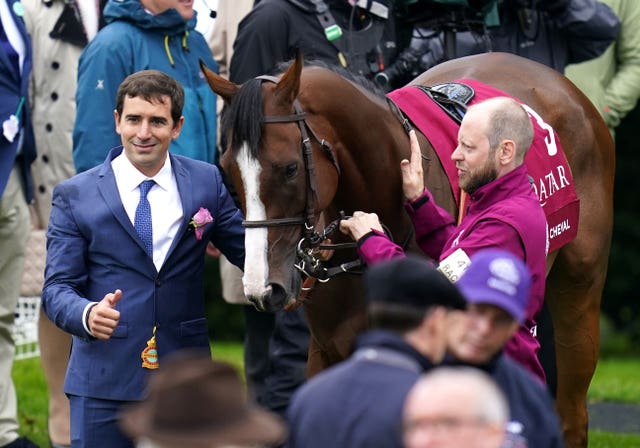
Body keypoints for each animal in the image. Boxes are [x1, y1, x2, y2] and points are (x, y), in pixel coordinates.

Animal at [204, 53, 616, 448]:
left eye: (289, 168)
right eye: (228, 170)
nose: (263, 287)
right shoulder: (327, 350)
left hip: (580, 290)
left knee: (571, 415)